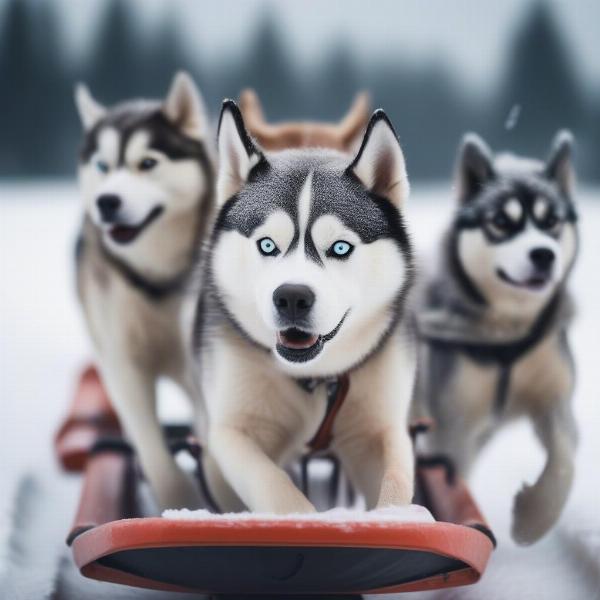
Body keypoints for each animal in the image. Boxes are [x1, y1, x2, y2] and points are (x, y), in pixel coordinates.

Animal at [75, 72, 216, 508]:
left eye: (148, 163)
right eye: (102, 165)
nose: (106, 201)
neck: (159, 279)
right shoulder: (123, 364)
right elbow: (151, 443)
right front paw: (180, 499)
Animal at [195, 101, 414, 512]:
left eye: (340, 247)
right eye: (267, 245)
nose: (292, 297)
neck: (315, 378)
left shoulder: (379, 427)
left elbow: (396, 482)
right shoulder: (232, 429)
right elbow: (271, 483)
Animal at [414, 131, 580, 544]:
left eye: (552, 221)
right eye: (502, 222)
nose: (543, 255)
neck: (508, 334)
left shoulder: (556, 396)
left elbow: (564, 456)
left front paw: (533, 518)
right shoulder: (453, 421)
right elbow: (453, 478)